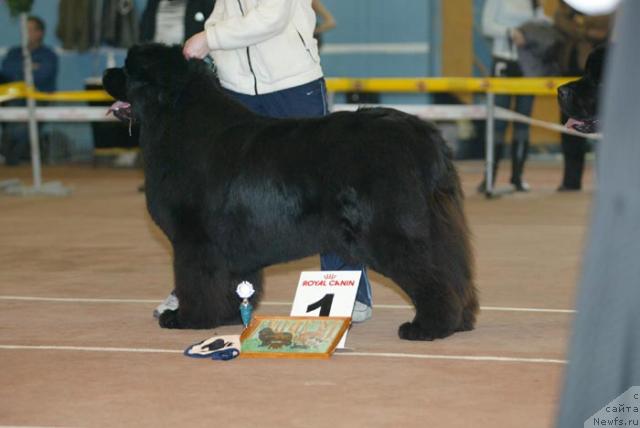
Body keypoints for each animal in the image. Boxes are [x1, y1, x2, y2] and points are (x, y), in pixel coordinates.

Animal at [102, 44, 478, 342]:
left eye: (129, 68)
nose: (105, 72)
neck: (175, 118)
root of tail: (423, 136)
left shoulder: (194, 238)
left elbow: (195, 280)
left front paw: (188, 319)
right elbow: (231, 282)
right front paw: (226, 315)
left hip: (390, 230)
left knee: (430, 274)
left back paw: (428, 327)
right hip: (436, 227)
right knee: (453, 269)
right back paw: (461, 320)